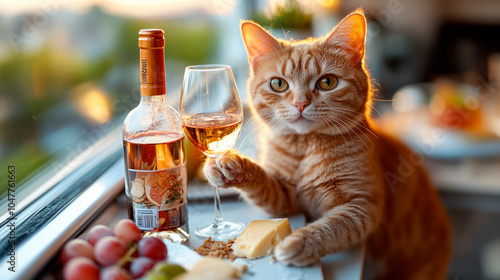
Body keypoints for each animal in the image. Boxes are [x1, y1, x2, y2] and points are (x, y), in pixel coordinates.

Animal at [203, 9, 454, 278]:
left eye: (327, 82)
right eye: (278, 84)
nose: (300, 103)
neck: (306, 148)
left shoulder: (361, 204)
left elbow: (332, 226)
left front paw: (299, 242)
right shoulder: (286, 198)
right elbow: (261, 182)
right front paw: (230, 166)